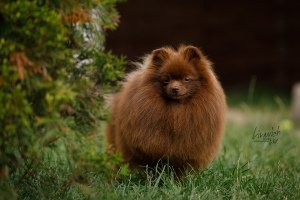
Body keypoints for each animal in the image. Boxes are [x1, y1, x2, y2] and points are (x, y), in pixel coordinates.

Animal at [105, 45, 225, 177]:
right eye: (166, 79)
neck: (176, 112)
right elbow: (154, 167)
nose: (175, 88)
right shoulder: (150, 147)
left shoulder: (186, 151)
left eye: (187, 79)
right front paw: (156, 180)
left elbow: (181, 169)